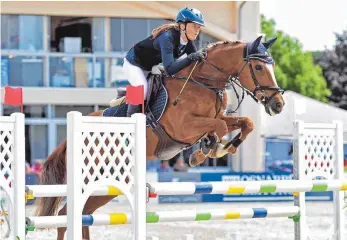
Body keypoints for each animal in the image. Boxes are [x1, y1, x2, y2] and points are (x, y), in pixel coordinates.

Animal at [35, 34, 286, 239]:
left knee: (84, 214)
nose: (279, 104)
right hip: (91, 178)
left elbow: (245, 123)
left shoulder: (217, 117)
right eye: (258, 67)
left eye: (272, 66)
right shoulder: (183, 127)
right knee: (65, 215)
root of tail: (68, 141)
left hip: (107, 182)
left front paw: (220, 147)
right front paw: (207, 151)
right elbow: (219, 127)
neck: (203, 84)